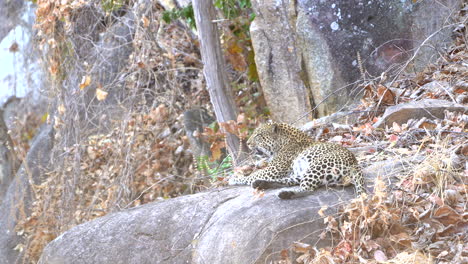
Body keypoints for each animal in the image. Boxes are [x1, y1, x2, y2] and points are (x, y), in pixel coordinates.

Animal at [228, 122, 366, 199]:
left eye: (258, 135)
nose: (247, 143)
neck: (282, 141)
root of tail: (354, 162)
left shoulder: (274, 169)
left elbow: (251, 175)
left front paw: (234, 178)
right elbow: (253, 174)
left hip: (318, 165)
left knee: (308, 189)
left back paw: (286, 194)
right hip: (303, 172)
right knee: (288, 181)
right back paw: (262, 184)